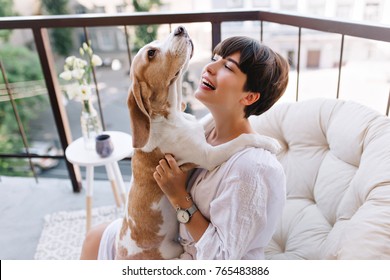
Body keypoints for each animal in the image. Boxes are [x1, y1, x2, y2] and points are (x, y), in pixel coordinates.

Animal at [116, 26, 280, 260]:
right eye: (151, 53)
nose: (180, 29)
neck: (170, 116)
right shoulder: (208, 155)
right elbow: (243, 138)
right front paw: (269, 141)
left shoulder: (198, 129)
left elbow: (208, 119)